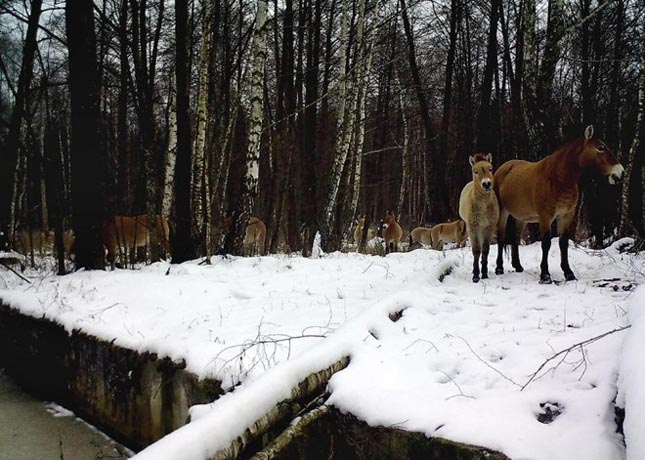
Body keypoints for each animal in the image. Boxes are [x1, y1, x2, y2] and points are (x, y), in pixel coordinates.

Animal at [494, 126, 624, 284]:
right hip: (503, 213)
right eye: (600, 148)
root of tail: (504, 168)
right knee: (501, 238)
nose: (620, 173)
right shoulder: (546, 217)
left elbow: (563, 243)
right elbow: (546, 244)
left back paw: (518, 266)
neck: (558, 178)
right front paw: (545, 275)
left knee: (516, 239)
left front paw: (568, 273)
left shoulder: (566, 216)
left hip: (521, 218)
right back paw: (499, 268)